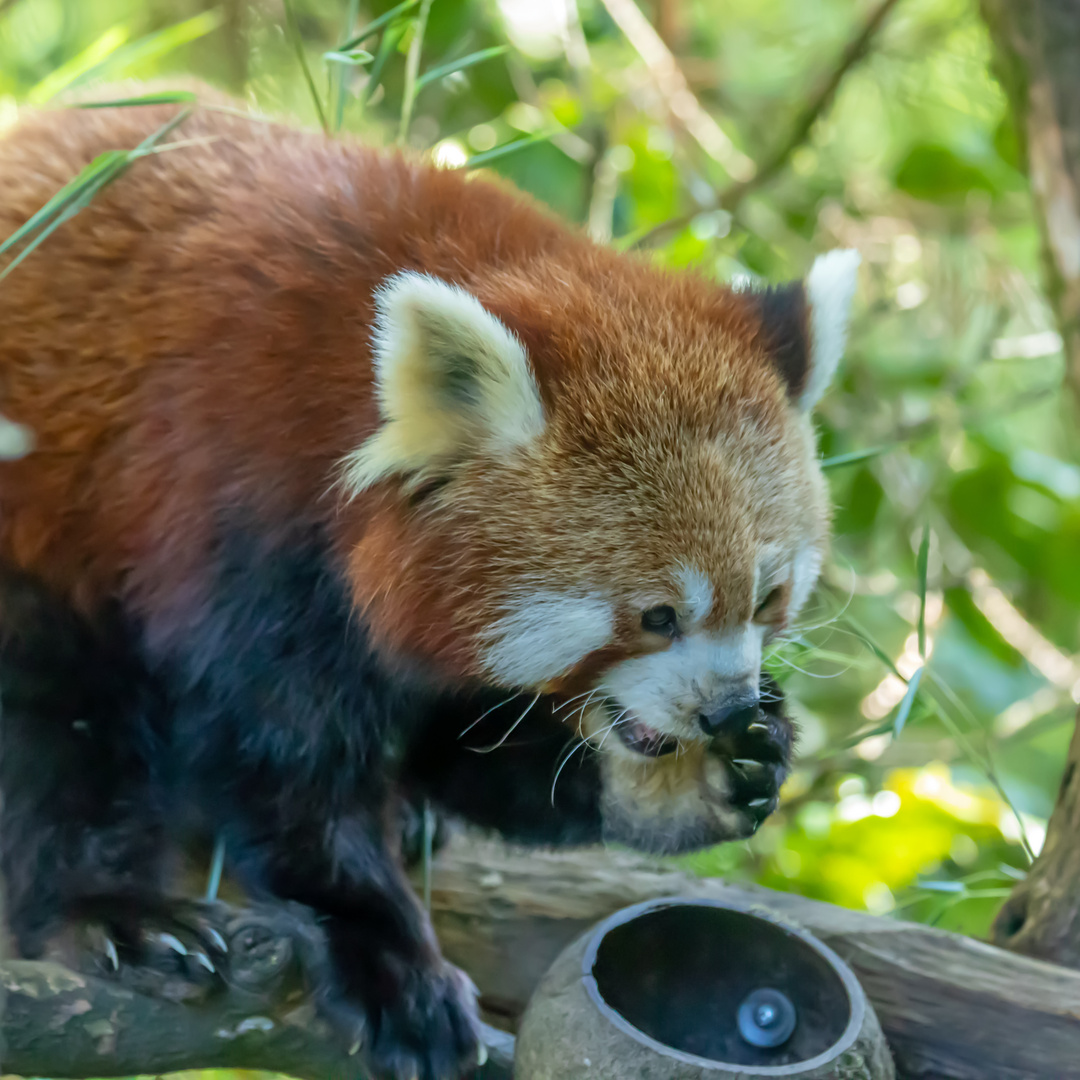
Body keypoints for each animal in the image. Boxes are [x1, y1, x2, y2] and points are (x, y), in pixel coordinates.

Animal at [0, 92, 859, 1080]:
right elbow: (280, 768)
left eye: (766, 600)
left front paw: (693, 782)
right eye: (656, 616)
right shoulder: (236, 511)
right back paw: (115, 916)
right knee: (55, 722)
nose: (725, 709)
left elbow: (473, 740)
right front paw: (391, 964)